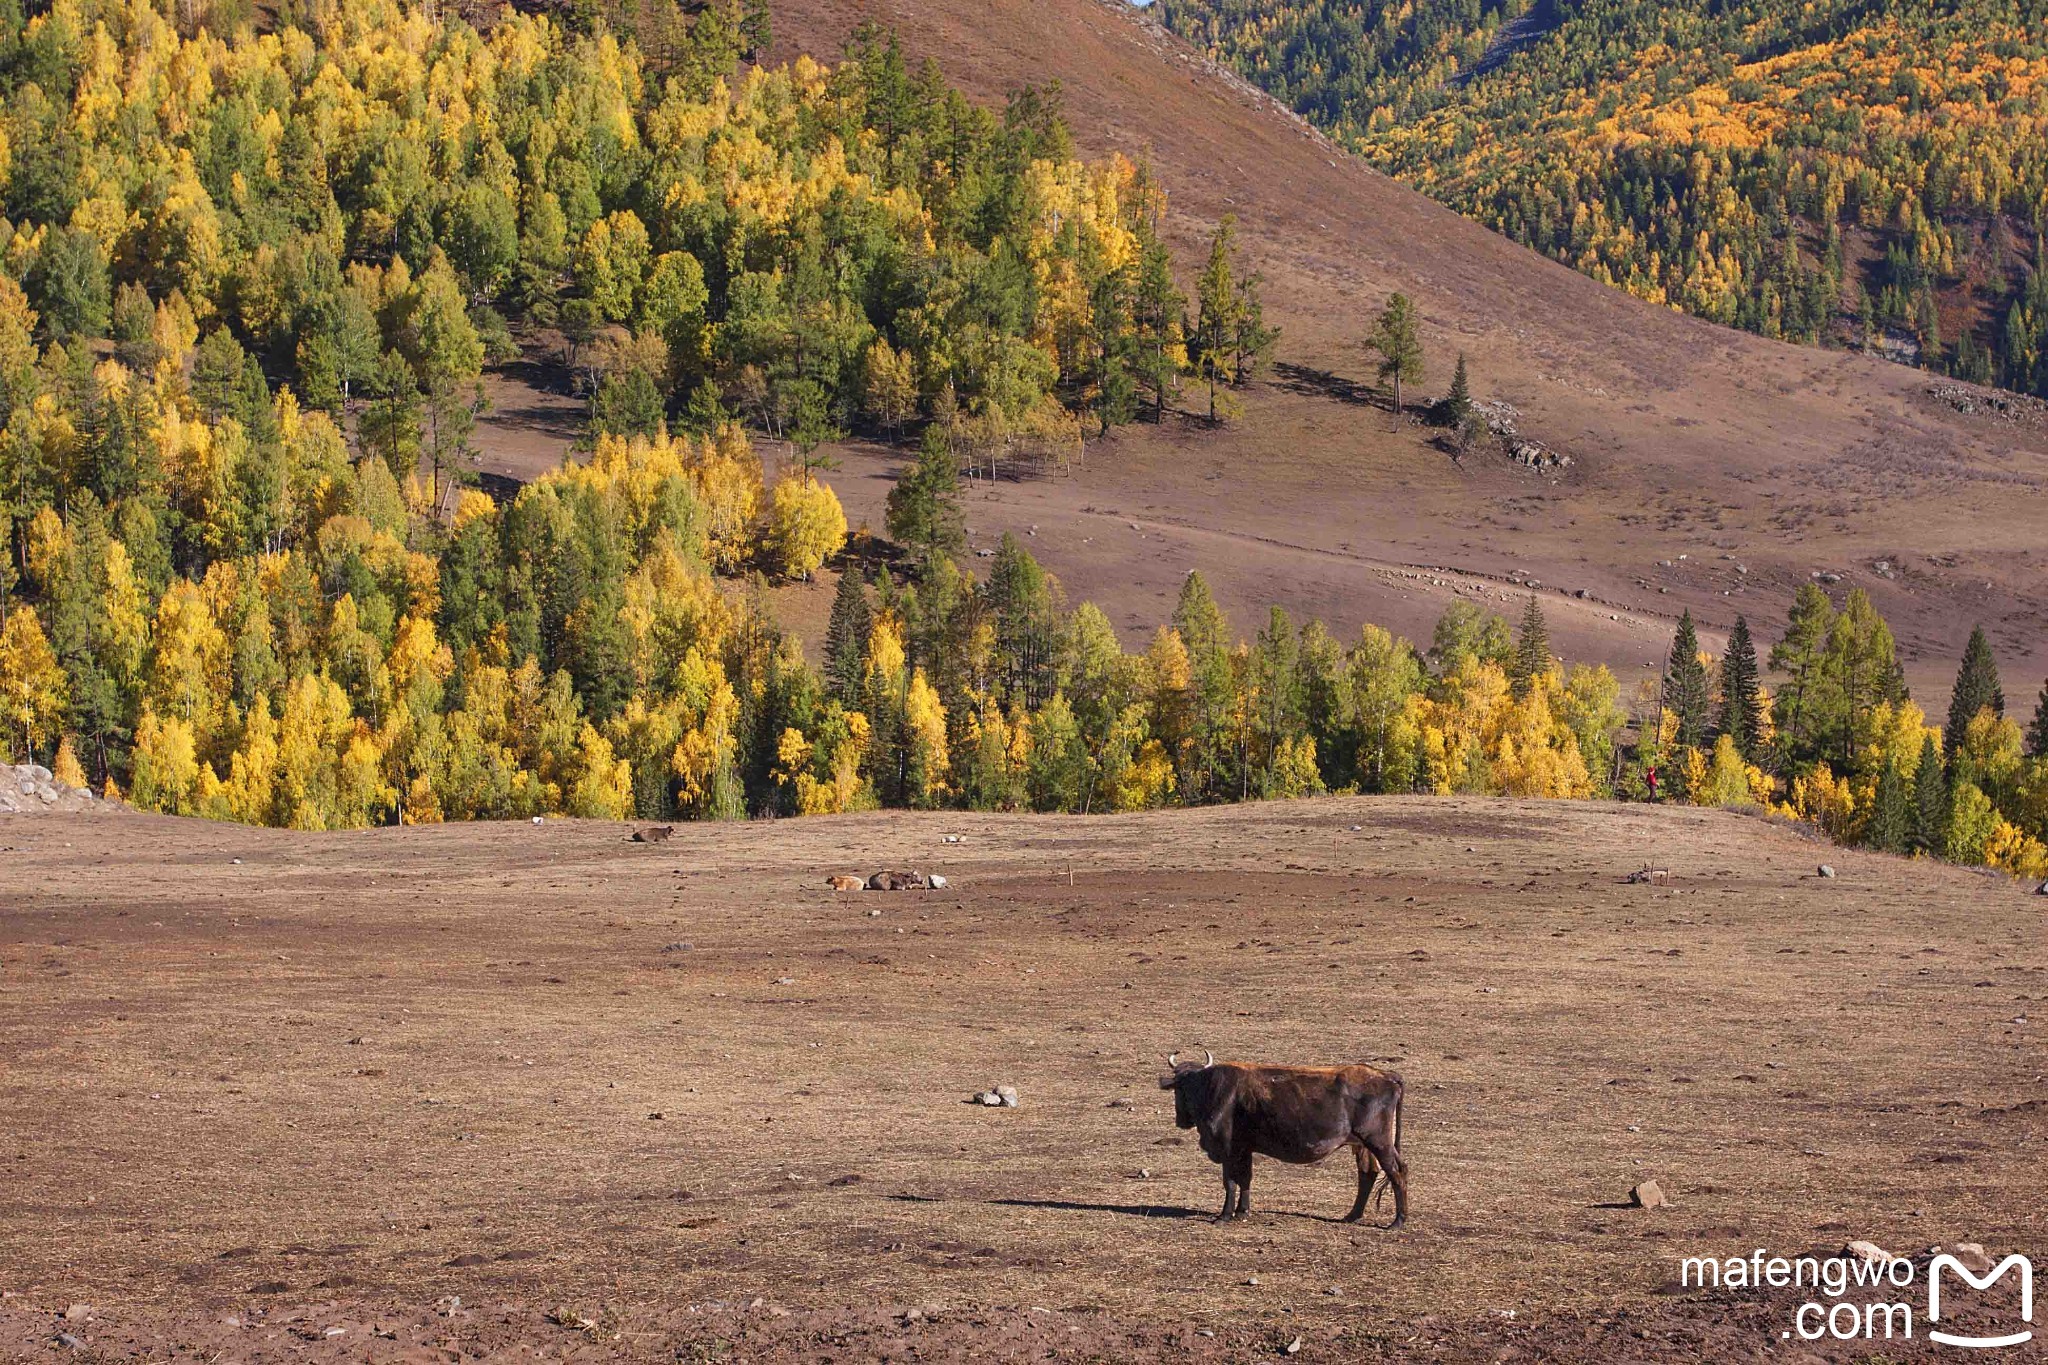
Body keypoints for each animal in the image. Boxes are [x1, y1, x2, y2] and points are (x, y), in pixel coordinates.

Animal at [1155, 1055, 1409, 1236]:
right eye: (1179, 1085)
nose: (1181, 1120)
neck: (1214, 1090)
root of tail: (1386, 1076)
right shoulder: (1244, 1149)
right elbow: (1245, 1180)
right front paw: (1242, 1212)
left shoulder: (1228, 1149)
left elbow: (1230, 1182)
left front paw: (1224, 1216)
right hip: (1364, 1145)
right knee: (1368, 1173)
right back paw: (1352, 1215)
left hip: (1379, 1143)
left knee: (1397, 1172)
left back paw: (1398, 1221)